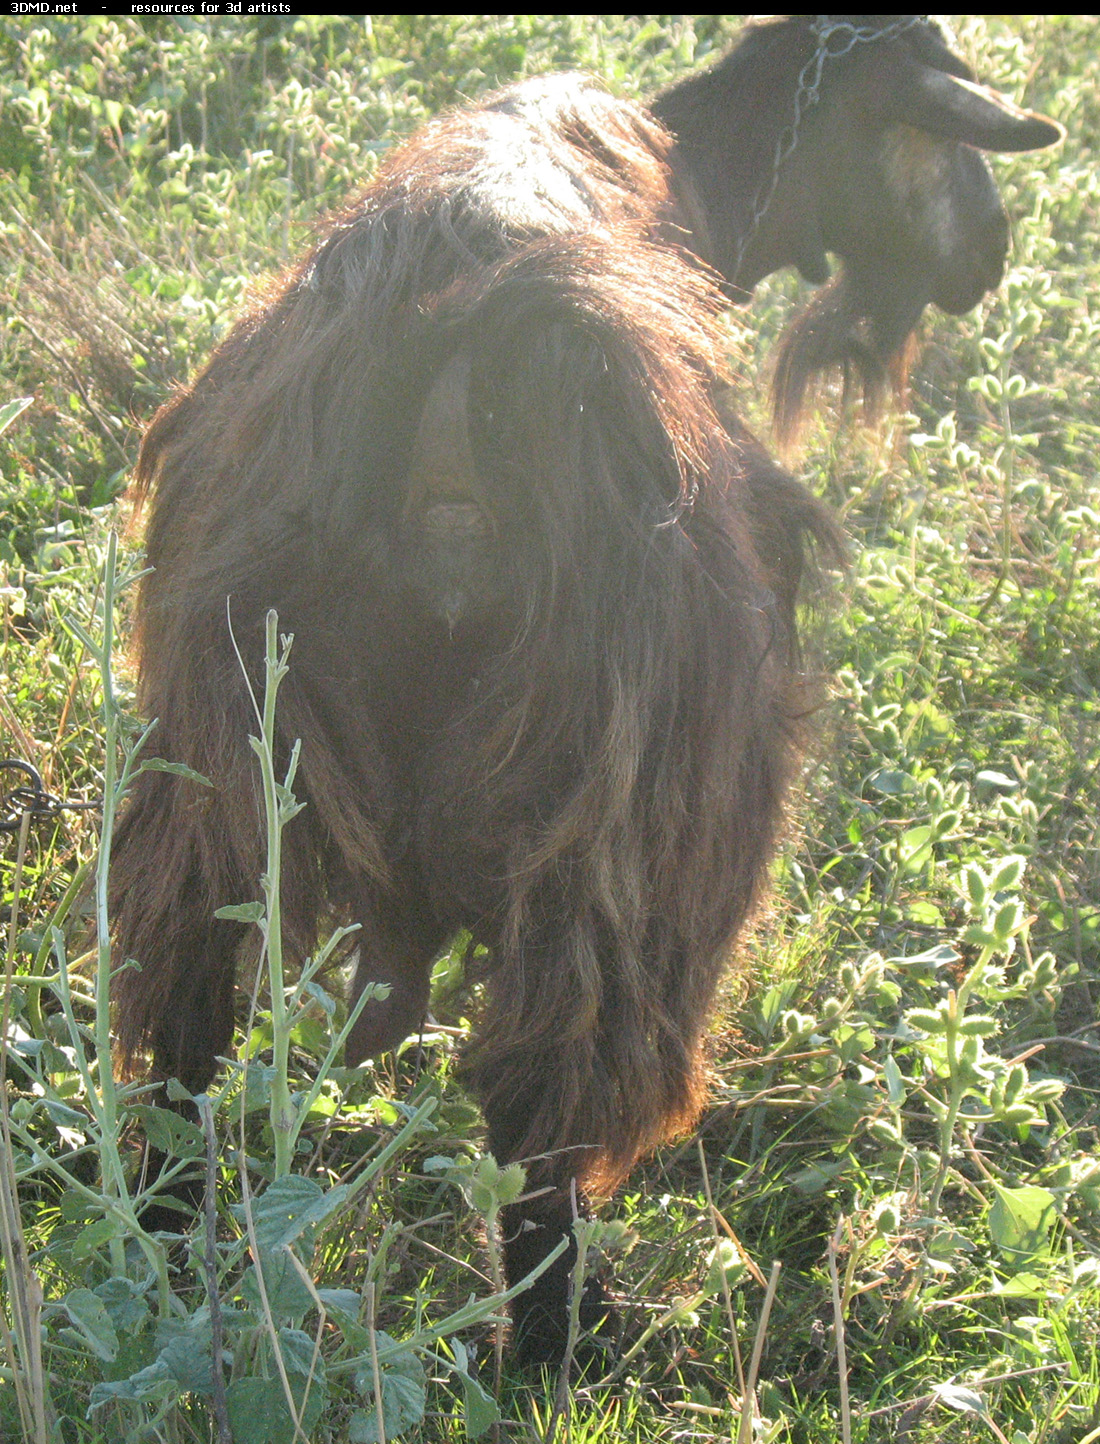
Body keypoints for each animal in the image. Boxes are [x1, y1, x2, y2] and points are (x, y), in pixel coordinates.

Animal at [108, 14, 1056, 1363]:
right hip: (623, 789)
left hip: (215, 745)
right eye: (934, 126)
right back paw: (558, 1343)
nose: (987, 254)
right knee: (544, 1083)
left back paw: (170, 1254)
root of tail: (464, 341)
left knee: (183, 1010)